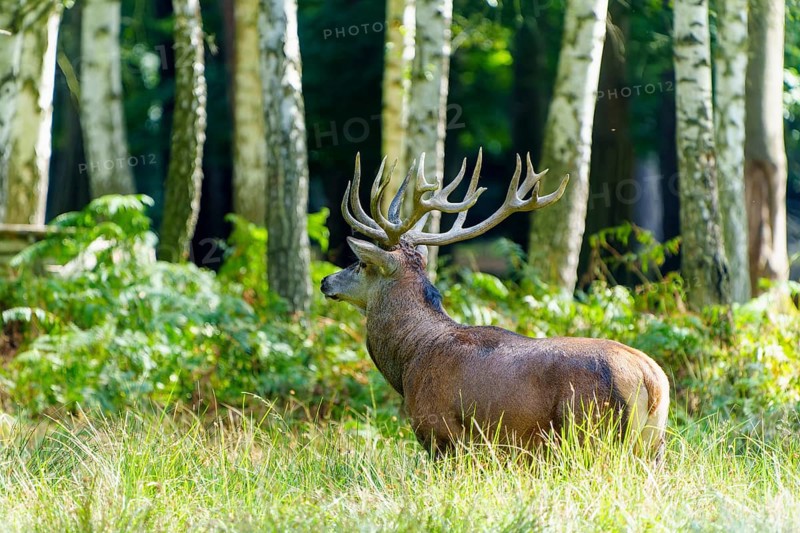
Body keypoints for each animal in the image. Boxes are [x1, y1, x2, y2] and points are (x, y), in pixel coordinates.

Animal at [320, 150, 670, 459]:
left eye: (361, 264)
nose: (326, 281)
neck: (410, 359)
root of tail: (651, 379)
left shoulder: (442, 432)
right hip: (653, 443)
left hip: (592, 433)